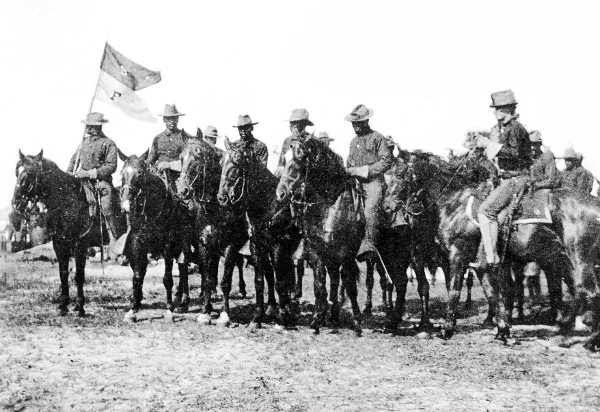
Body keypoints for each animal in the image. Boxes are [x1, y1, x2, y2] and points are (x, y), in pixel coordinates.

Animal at [12, 151, 126, 316]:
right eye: (17, 173)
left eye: (30, 173)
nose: (16, 203)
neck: (69, 201)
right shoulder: (59, 245)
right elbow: (63, 273)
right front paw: (63, 305)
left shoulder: (80, 246)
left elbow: (79, 276)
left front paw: (80, 307)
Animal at [176, 138, 223, 322]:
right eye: (181, 158)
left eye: (197, 157)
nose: (183, 191)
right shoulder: (196, 240)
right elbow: (196, 267)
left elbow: (208, 270)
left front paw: (208, 303)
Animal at [216, 138, 284, 328]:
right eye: (221, 164)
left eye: (235, 167)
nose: (221, 198)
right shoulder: (255, 245)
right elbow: (258, 281)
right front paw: (255, 318)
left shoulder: (276, 247)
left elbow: (280, 282)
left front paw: (282, 319)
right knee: (269, 275)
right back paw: (271, 308)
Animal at [274, 135, 364, 334]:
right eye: (284, 160)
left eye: (299, 160)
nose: (280, 194)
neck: (329, 208)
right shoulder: (317, 253)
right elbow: (319, 286)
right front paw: (317, 319)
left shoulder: (346, 254)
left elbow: (351, 287)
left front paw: (357, 322)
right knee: (334, 282)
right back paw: (332, 316)